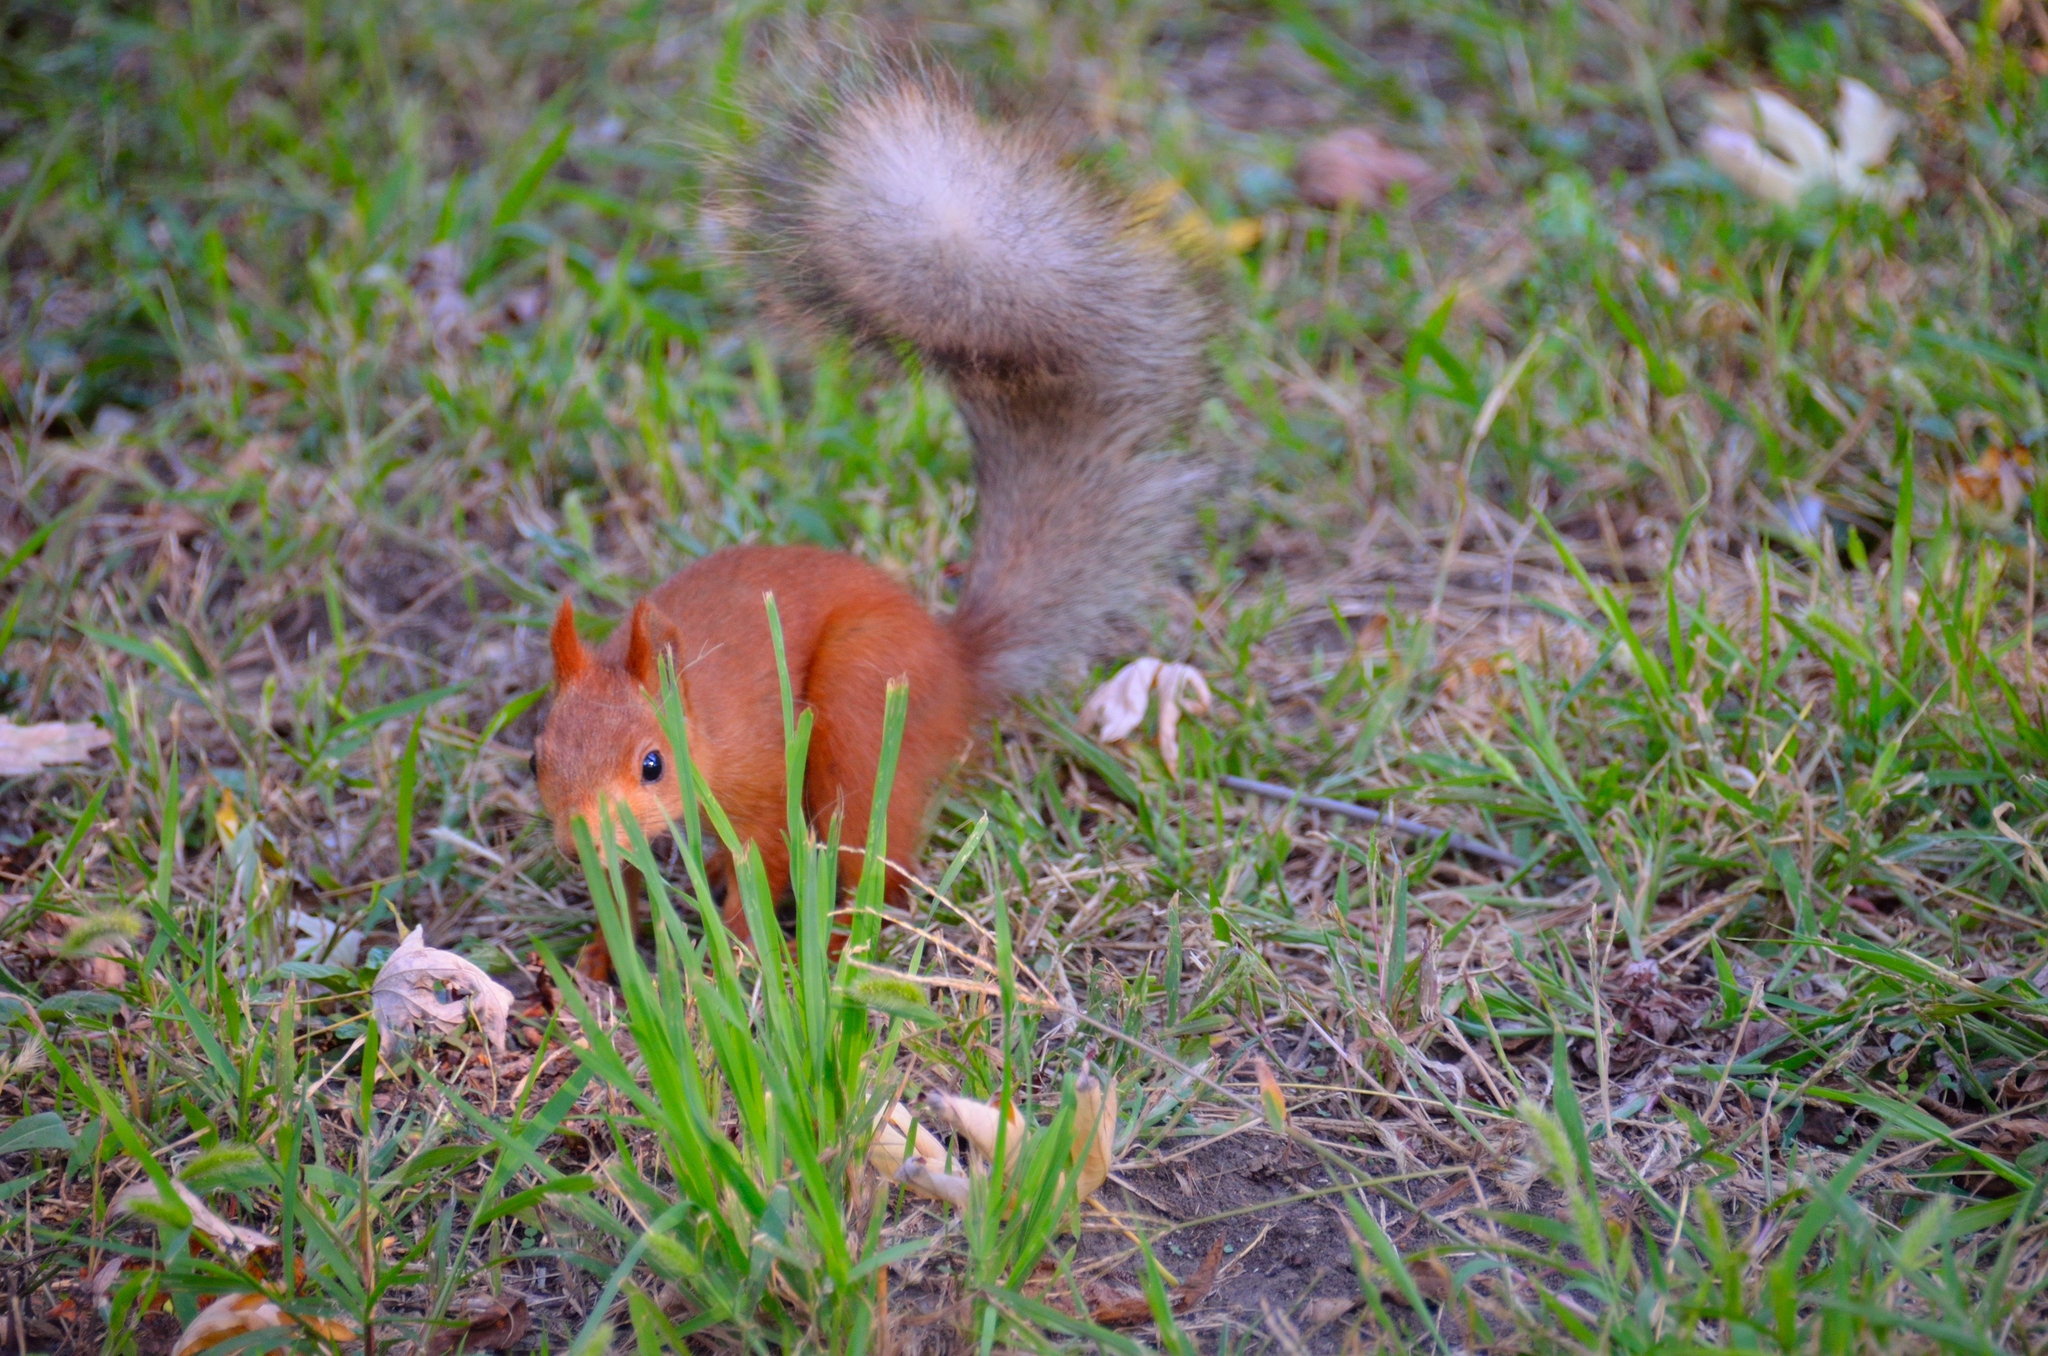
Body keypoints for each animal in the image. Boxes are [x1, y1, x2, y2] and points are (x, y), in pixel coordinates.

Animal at [532, 74, 1212, 970]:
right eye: (536, 753)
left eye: (652, 764)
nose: (579, 839)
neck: (698, 707)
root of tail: (958, 666)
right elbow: (626, 889)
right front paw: (598, 964)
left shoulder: (759, 767)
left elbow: (762, 860)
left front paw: (742, 961)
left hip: (863, 698)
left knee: (874, 853)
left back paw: (838, 944)